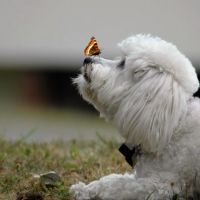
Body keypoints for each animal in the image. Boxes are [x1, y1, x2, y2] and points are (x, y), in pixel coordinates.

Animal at [70, 35, 200, 199]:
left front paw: (84, 190)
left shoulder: (163, 186)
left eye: (123, 63)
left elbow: (117, 186)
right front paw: (84, 188)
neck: (175, 124)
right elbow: (113, 179)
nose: (87, 59)